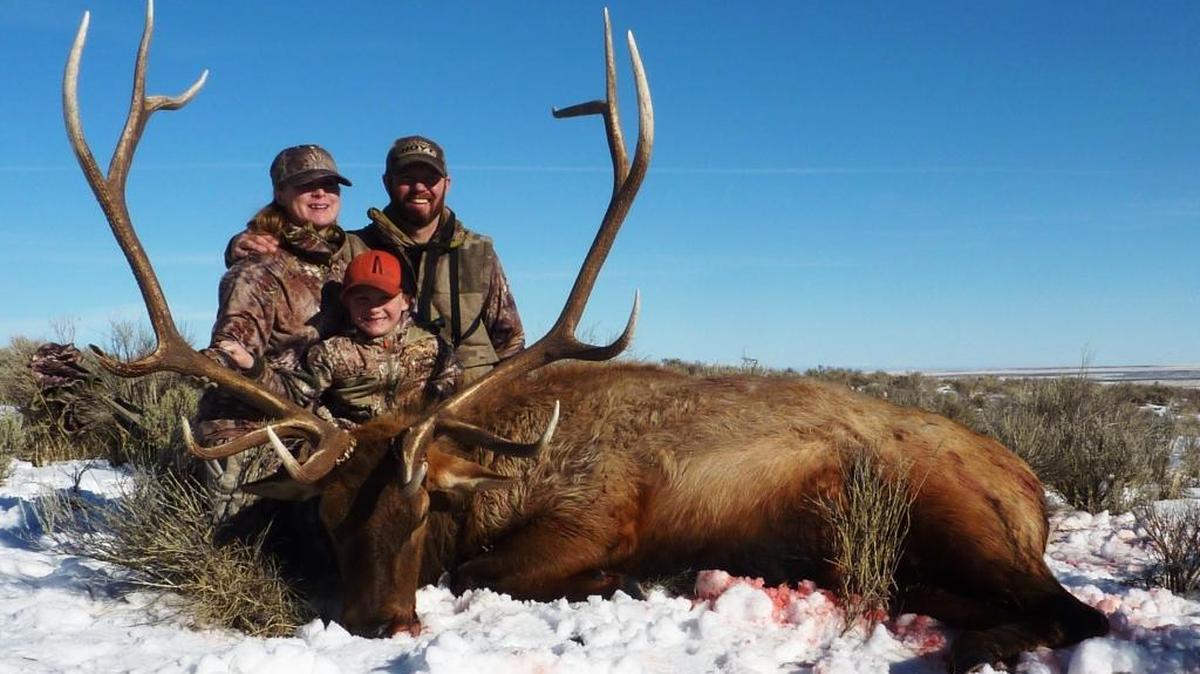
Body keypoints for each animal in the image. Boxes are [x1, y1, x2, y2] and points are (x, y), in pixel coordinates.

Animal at [64, 3, 1109, 672]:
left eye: (417, 509)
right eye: (325, 514)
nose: (376, 624)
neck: (499, 472)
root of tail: (1031, 488)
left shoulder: (601, 512)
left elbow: (500, 569)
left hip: (948, 511)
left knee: (1075, 612)